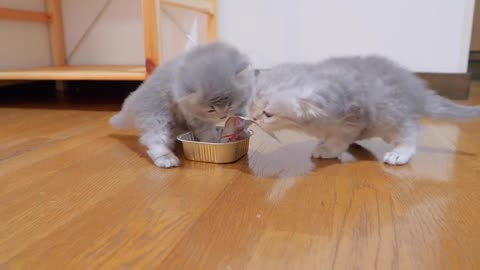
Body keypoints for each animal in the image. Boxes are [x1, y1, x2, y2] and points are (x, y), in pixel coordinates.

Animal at [110, 41, 253, 167]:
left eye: (230, 105)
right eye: (211, 110)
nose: (223, 116)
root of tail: (135, 98)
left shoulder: (242, 103)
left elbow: (241, 116)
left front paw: (240, 128)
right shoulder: (195, 117)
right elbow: (207, 132)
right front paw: (214, 141)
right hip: (157, 116)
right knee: (153, 139)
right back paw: (166, 158)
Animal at [251, 55, 480, 165]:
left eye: (268, 114)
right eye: (253, 102)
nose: (253, 117)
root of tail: (415, 90)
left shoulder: (353, 118)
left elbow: (339, 139)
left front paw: (327, 149)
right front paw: (323, 141)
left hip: (391, 117)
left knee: (411, 131)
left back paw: (400, 153)